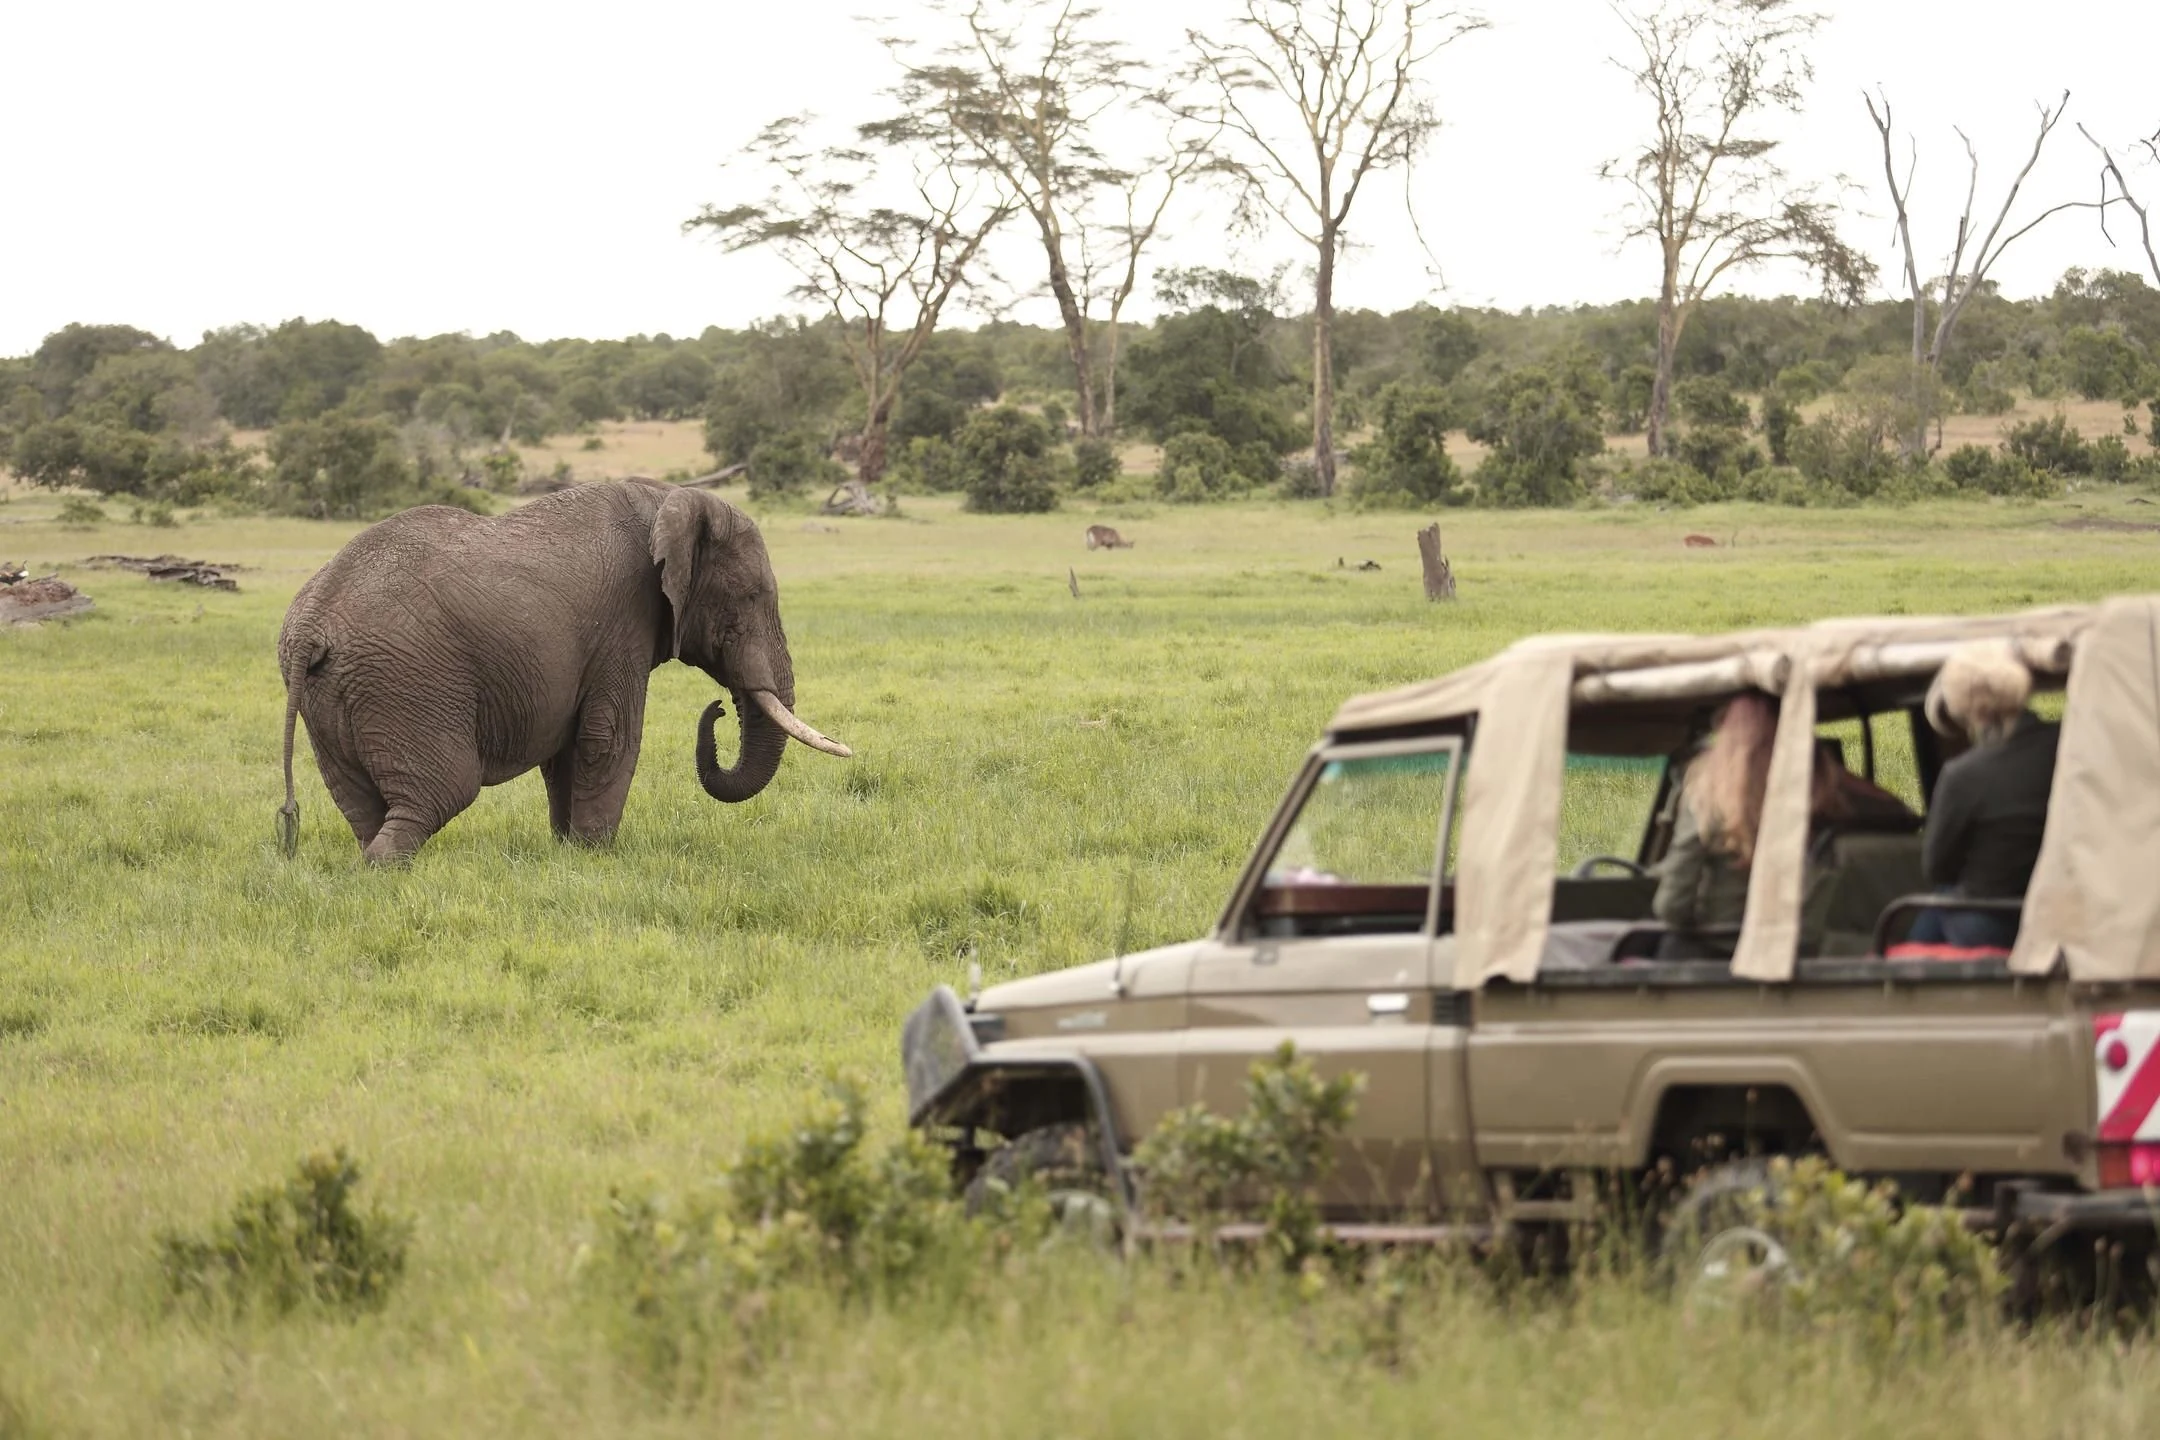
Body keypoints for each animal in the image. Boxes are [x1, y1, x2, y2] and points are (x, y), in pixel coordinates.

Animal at [276, 478, 849, 864]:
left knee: (359, 802)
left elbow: (567, 748)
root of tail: (311, 626)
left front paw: (568, 850)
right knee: (443, 792)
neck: (668, 498)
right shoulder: (623, 618)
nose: (718, 708)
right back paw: (388, 868)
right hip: (408, 682)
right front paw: (597, 855)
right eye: (751, 597)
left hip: (332, 696)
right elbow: (609, 737)